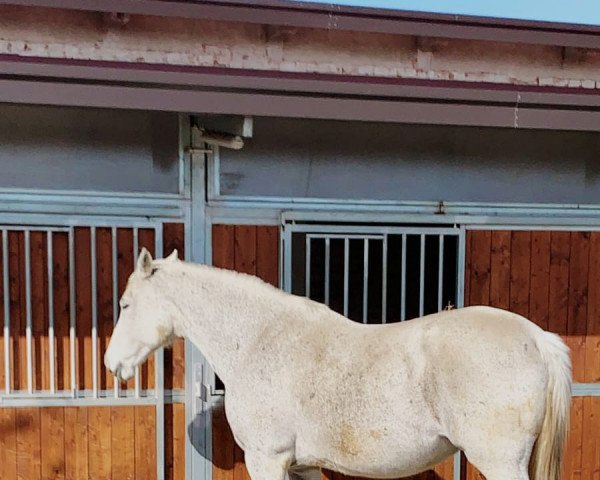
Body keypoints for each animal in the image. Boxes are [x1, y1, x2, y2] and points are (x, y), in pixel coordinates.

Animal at [104, 249, 572, 478]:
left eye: (125, 304)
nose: (112, 364)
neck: (259, 338)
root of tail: (538, 338)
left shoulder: (266, 460)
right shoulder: (303, 466)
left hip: (500, 462)